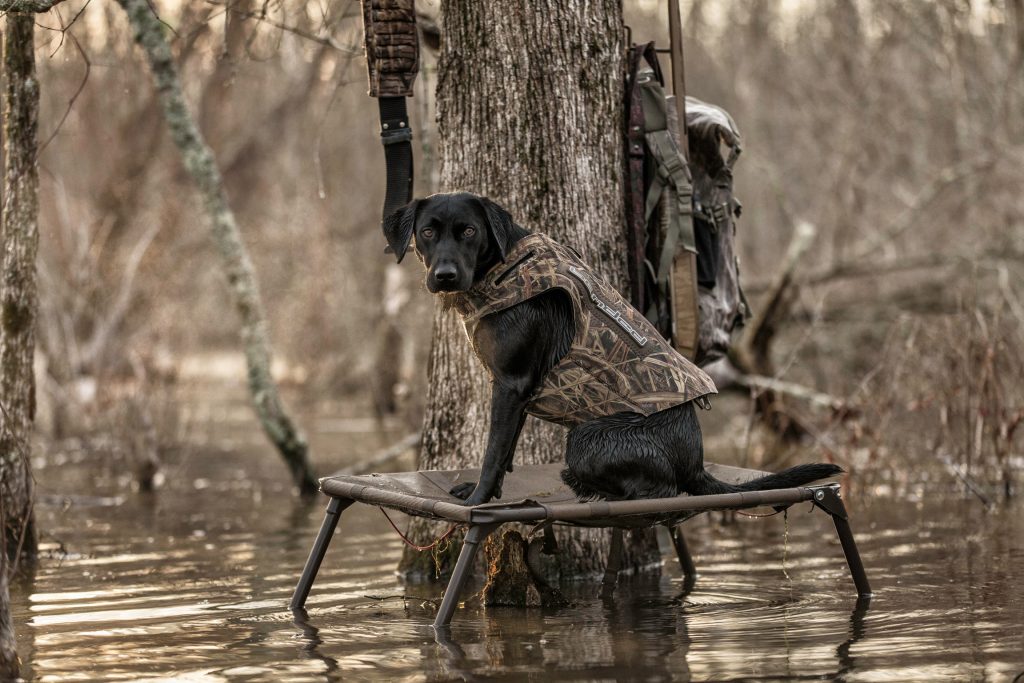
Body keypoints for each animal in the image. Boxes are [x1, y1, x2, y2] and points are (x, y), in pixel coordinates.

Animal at [385, 192, 839, 507]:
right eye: (428, 232)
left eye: (469, 231)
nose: (444, 275)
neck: (501, 267)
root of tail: (696, 463)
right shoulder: (517, 391)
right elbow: (507, 447)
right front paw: (485, 492)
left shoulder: (511, 384)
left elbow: (494, 450)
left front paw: (479, 500)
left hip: (586, 438)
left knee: (663, 491)